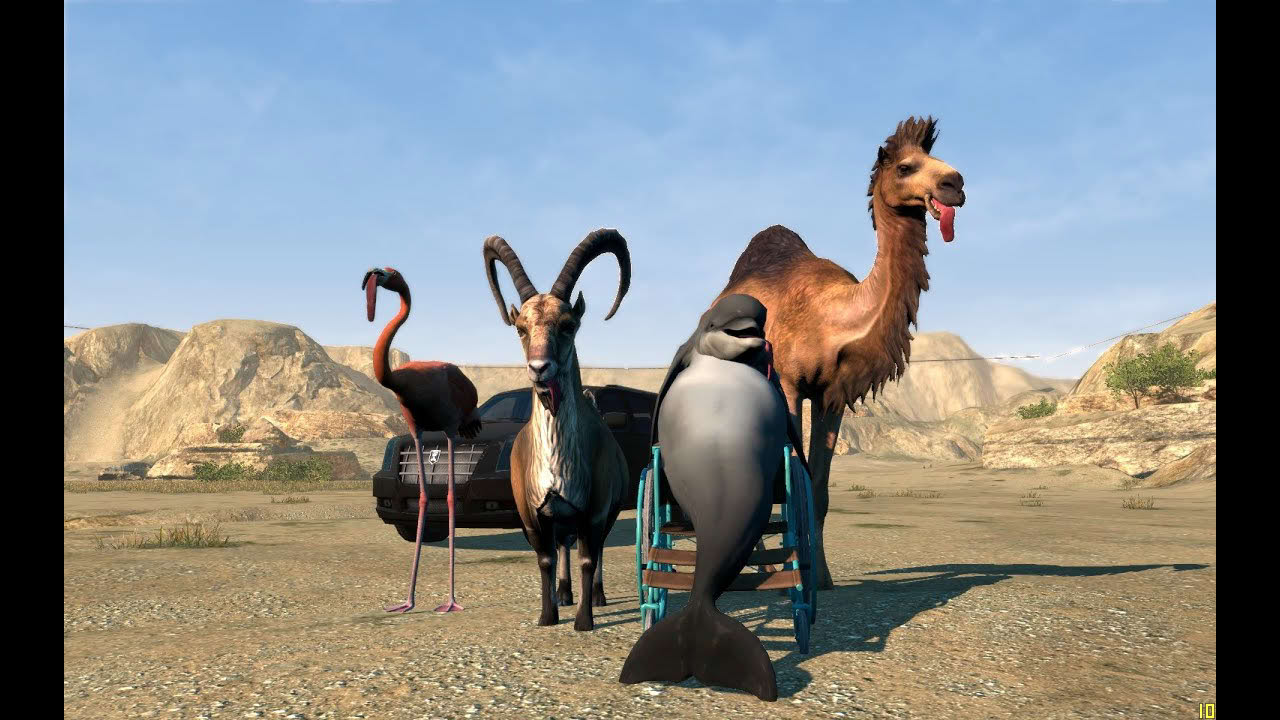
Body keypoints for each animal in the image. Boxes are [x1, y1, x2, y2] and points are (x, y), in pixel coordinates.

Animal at [483, 229, 630, 631]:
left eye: (568, 325)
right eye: (521, 329)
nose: (539, 367)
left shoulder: (595, 508)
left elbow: (589, 558)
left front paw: (584, 621)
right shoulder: (533, 511)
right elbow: (546, 558)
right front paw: (548, 615)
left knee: (595, 549)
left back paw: (596, 595)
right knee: (563, 544)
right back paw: (564, 593)